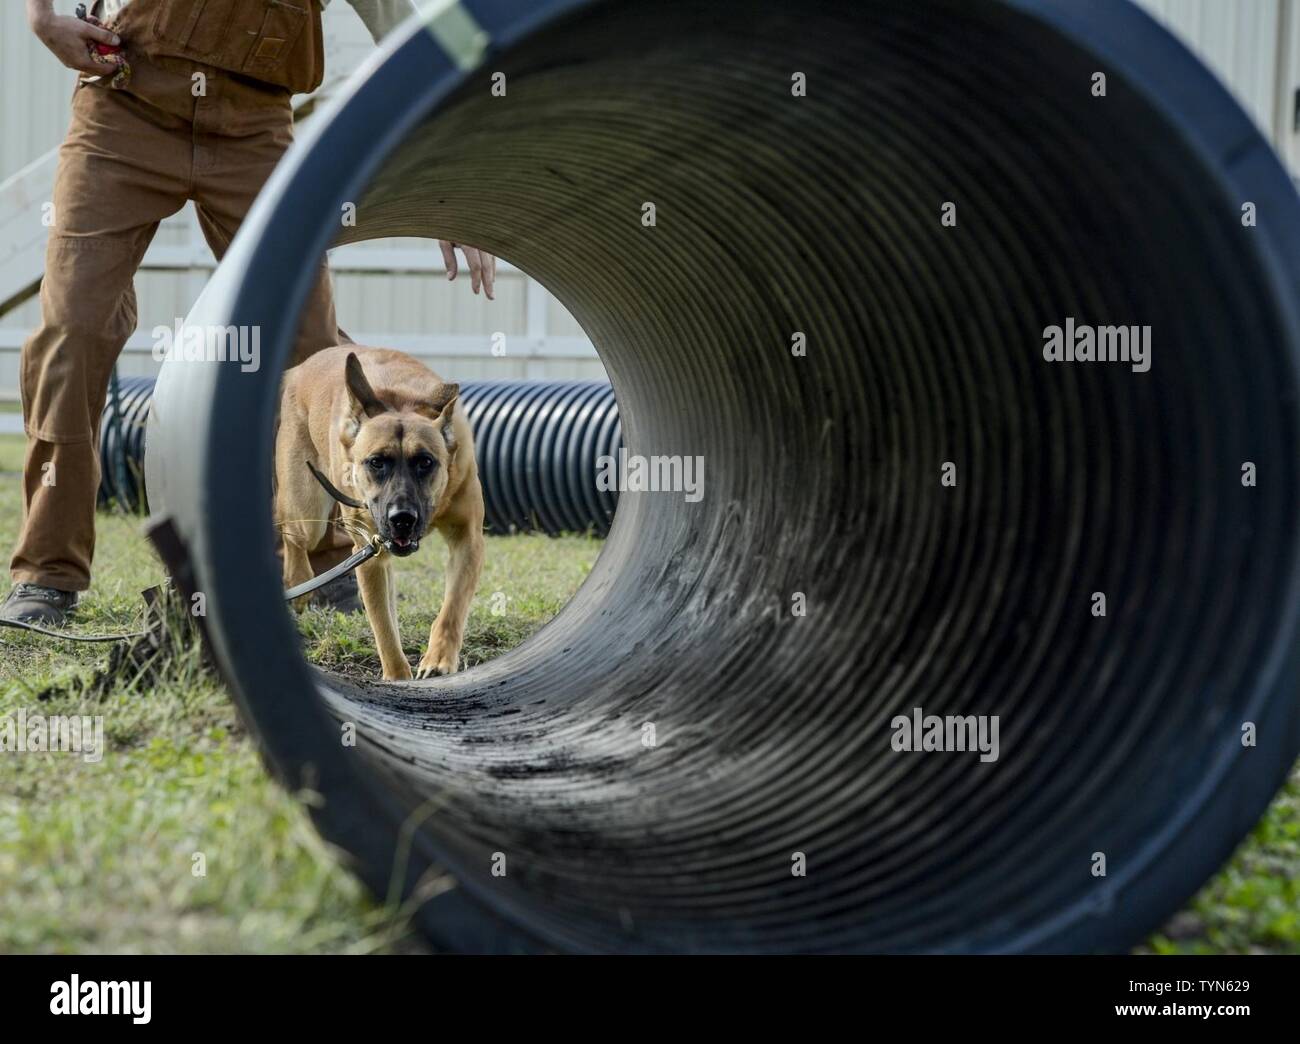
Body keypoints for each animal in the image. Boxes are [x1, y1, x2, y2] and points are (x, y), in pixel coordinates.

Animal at [274, 345, 483, 681]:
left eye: (425, 462)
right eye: (376, 462)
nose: (402, 519)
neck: (401, 401)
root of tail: (300, 368)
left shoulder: (469, 539)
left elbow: (452, 609)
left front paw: (438, 659)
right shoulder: (369, 552)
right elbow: (383, 625)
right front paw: (397, 677)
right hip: (307, 508)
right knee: (293, 533)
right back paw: (299, 581)